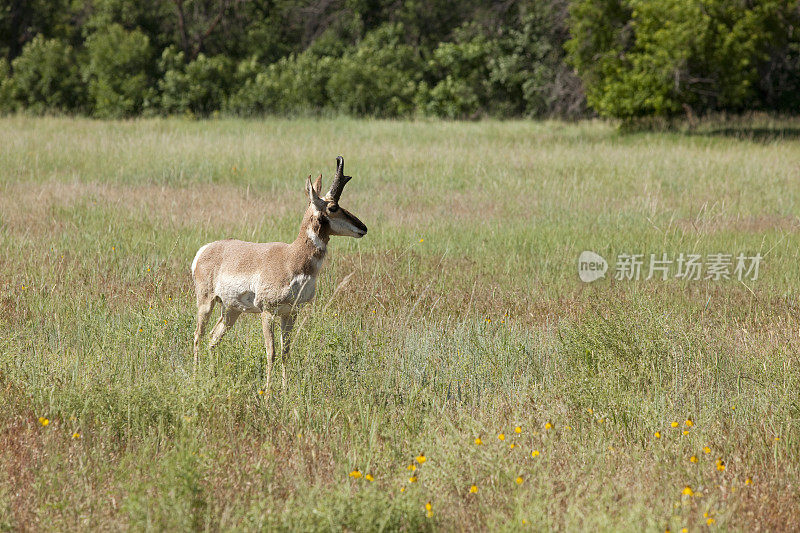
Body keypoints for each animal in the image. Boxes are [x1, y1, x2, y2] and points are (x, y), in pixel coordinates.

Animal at [191, 157, 368, 386]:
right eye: (333, 206)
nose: (364, 228)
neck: (291, 257)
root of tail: (206, 249)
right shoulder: (267, 312)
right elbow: (271, 352)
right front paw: (268, 390)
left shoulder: (290, 313)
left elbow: (286, 352)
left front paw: (284, 388)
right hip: (206, 302)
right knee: (198, 335)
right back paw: (196, 376)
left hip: (232, 309)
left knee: (213, 338)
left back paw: (212, 376)